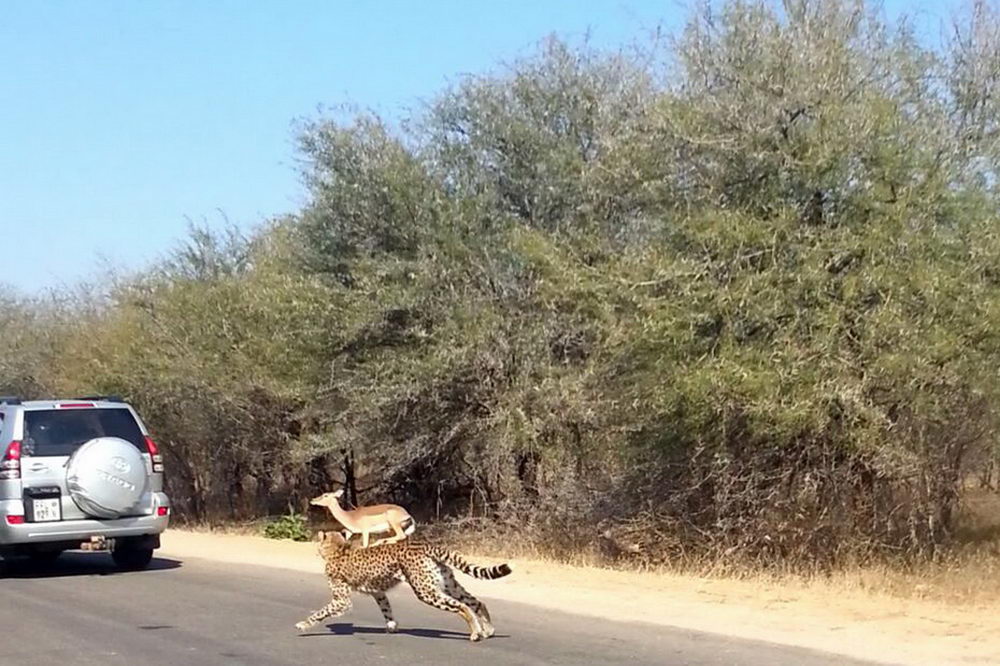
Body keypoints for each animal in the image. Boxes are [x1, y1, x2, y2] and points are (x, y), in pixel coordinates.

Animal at [294, 528, 516, 640]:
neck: (339, 548)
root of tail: (422, 544)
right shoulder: (378, 592)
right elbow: (386, 609)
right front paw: (392, 626)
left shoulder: (342, 600)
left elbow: (321, 612)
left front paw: (303, 624)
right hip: (448, 584)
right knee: (477, 602)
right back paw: (488, 630)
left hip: (425, 590)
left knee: (462, 606)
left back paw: (476, 632)